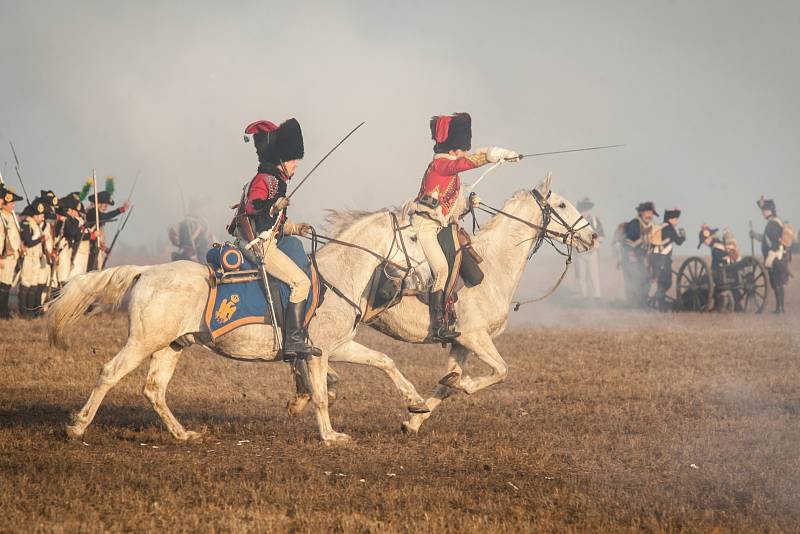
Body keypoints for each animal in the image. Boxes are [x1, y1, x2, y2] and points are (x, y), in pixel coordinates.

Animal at [292, 176, 592, 436]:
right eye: (562, 205)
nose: (591, 236)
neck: (493, 265)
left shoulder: (461, 343)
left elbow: (447, 385)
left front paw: (413, 421)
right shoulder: (475, 337)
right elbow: (500, 370)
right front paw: (466, 385)